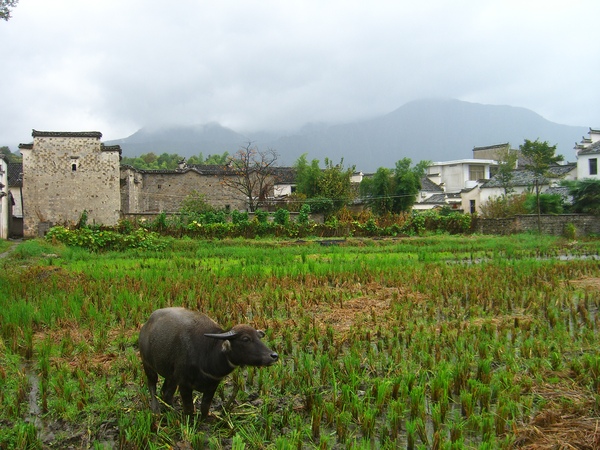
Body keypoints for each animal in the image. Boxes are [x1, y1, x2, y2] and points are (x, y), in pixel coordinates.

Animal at [139, 308, 278, 416]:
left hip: (171, 375)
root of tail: (146, 325)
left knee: (166, 392)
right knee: (152, 385)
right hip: (147, 365)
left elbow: (205, 407)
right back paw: (156, 409)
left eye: (259, 337)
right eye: (245, 339)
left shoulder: (212, 385)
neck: (208, 352)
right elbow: (189, 408)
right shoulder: (184, 384)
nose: (274, 355)